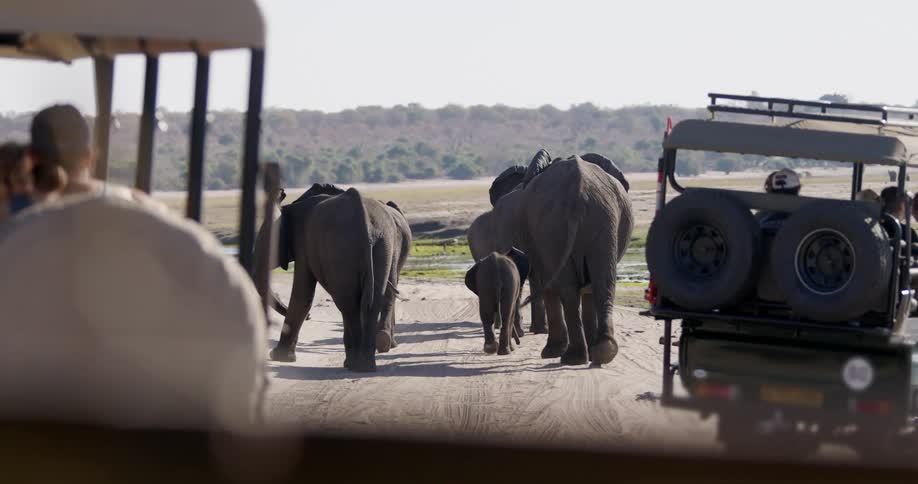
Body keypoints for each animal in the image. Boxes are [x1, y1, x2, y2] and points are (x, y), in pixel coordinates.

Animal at [254, 183, 411, 372]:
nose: (311, 317)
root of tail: (365, 221)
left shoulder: (303, 243)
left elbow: (302, 296)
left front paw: (279, 357)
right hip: (382, 244)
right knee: (369, 301)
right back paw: (365, 364)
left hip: (343, 247)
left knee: (348, 304)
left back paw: (356, 364)